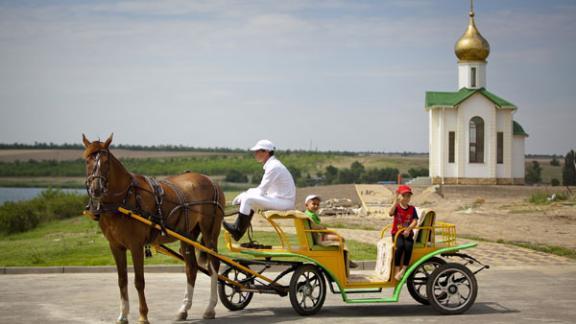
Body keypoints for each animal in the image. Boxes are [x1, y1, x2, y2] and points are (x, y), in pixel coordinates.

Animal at [81, 134, 225, 322]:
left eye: (106, 162)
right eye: (87, 160)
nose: (96, 189)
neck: (125, 198)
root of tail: (211, 181)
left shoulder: (136, 246)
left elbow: (139, 281)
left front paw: (143, 315)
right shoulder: (115, 246)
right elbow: (122, 280)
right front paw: (123, 315)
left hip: (210, 233)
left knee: (214, 265)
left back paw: (210, 308)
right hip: (187, 235)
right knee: (191, 268)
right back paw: (184, 309)